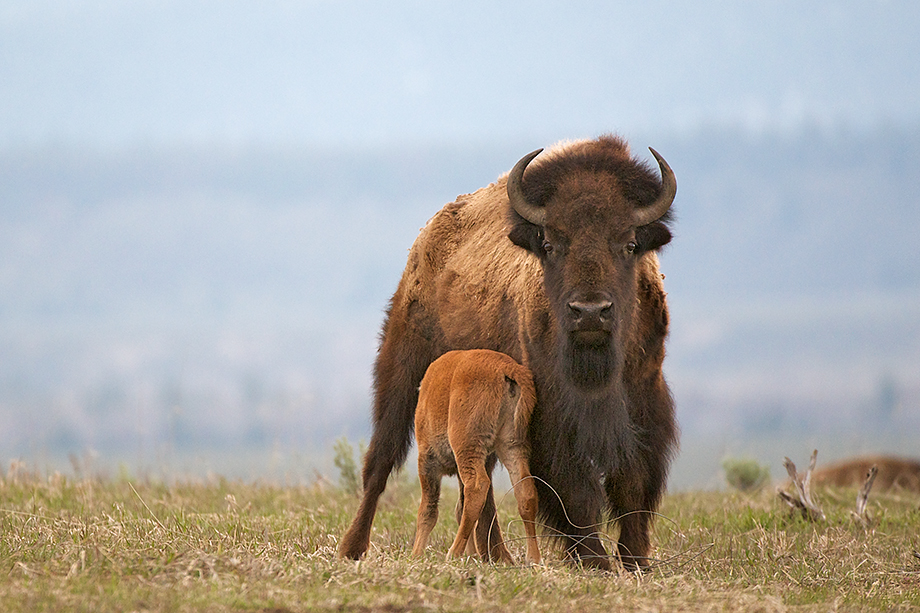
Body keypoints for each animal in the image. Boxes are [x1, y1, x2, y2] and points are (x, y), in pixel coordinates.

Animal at [410, 350, 540, 564]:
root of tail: (506, 368)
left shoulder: (428, 461)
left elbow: (428, 510)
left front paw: (416, 555)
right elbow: (459, 508)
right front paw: (471, 555)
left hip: (467, 446)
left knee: (477, 486)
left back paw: (453, 553)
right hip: (512, 444)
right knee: (525, 490)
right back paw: (533, 558)